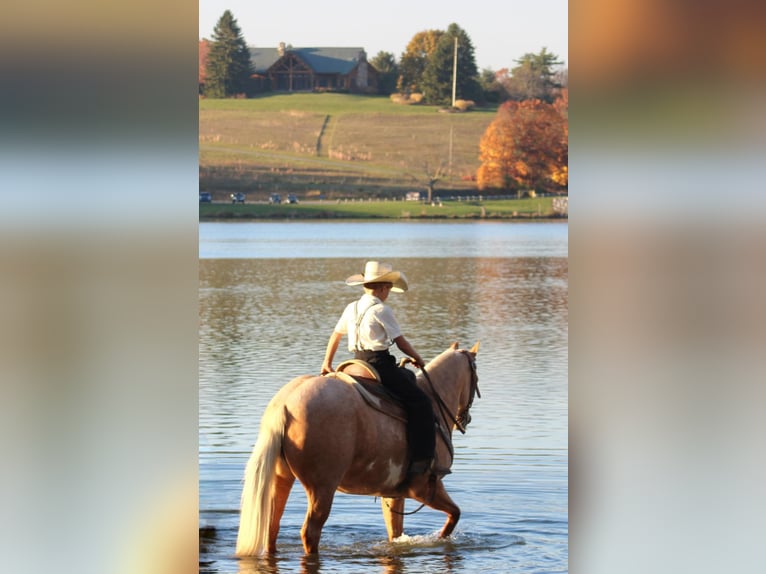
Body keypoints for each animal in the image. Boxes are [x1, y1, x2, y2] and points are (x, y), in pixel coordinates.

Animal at [237, 342, 484, 560]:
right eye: (476, 376)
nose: (466, 419)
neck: (434, 404)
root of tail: (286, 403)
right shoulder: (425, 488)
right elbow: (454, 514)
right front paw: (441, 540)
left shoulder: (393, 494)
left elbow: (395, 534)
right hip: (322, 489)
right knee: (310, 532)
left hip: (282, 478)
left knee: (272, 524)